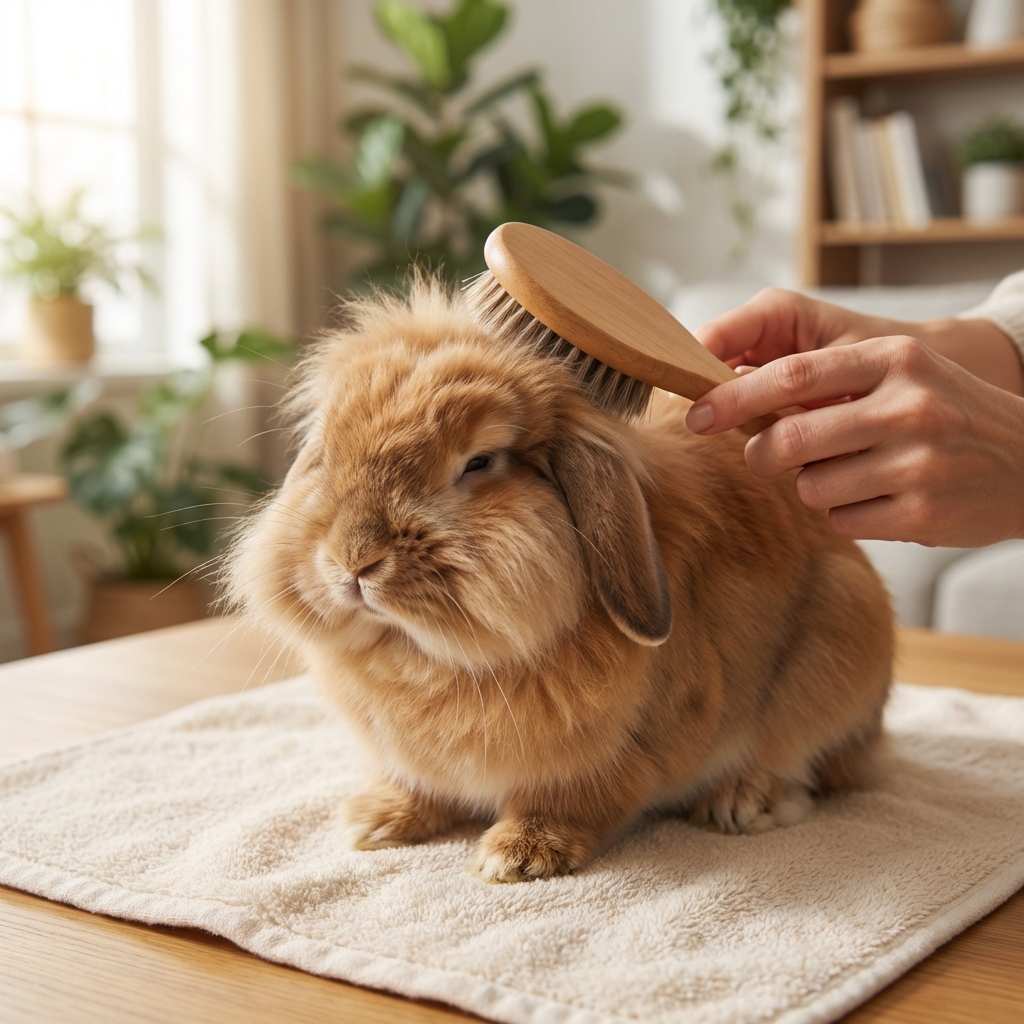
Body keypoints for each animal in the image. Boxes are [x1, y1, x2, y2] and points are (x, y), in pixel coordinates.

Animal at [226, 277, 893, 883]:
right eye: (329, 452)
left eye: (479, 462)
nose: (353, 562)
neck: (432, 657)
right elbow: (417, 787)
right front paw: (375, 821)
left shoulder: (607, 760)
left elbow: (578, 800)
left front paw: (519, 856)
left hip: (835, 647)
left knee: (804, 763)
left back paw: (742, 802)